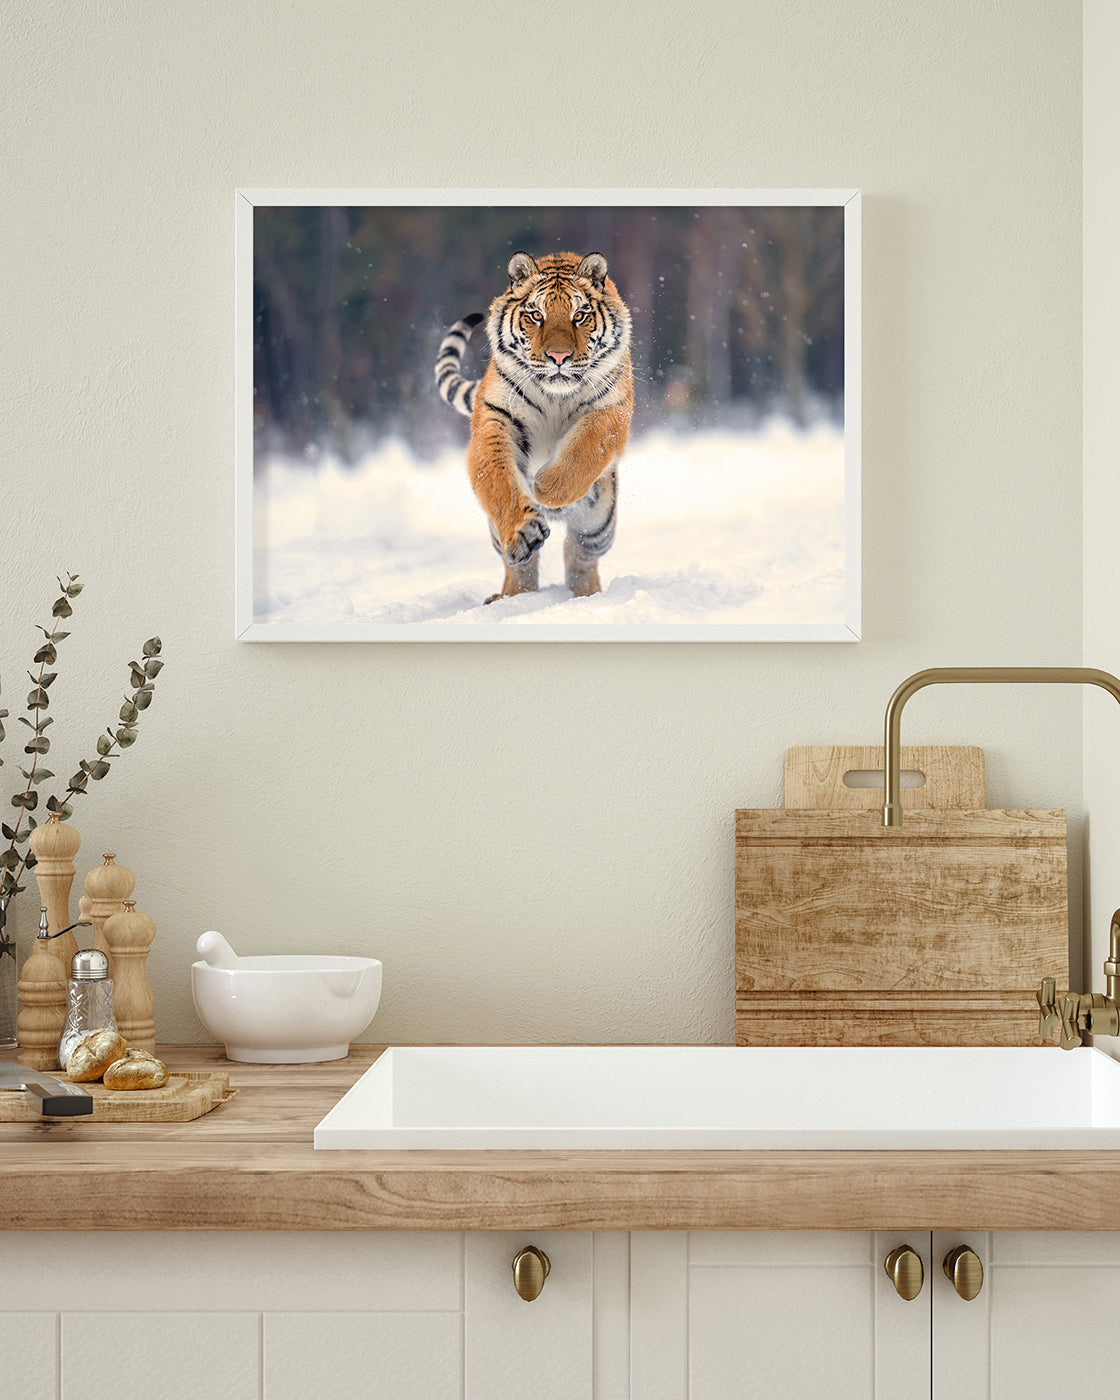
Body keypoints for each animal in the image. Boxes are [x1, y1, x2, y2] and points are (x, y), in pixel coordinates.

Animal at [435, 250, 633, 603]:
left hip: (598, 525)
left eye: (580, 315)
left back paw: (587, 596)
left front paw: (546, 487)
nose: (558, 357)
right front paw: (523, 529)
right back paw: (510, 598)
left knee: (579, 555)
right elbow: (498, 479)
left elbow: (586, 447)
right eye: (536, 315)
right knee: (522, 566)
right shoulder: (495, 419)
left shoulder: (612, 409)